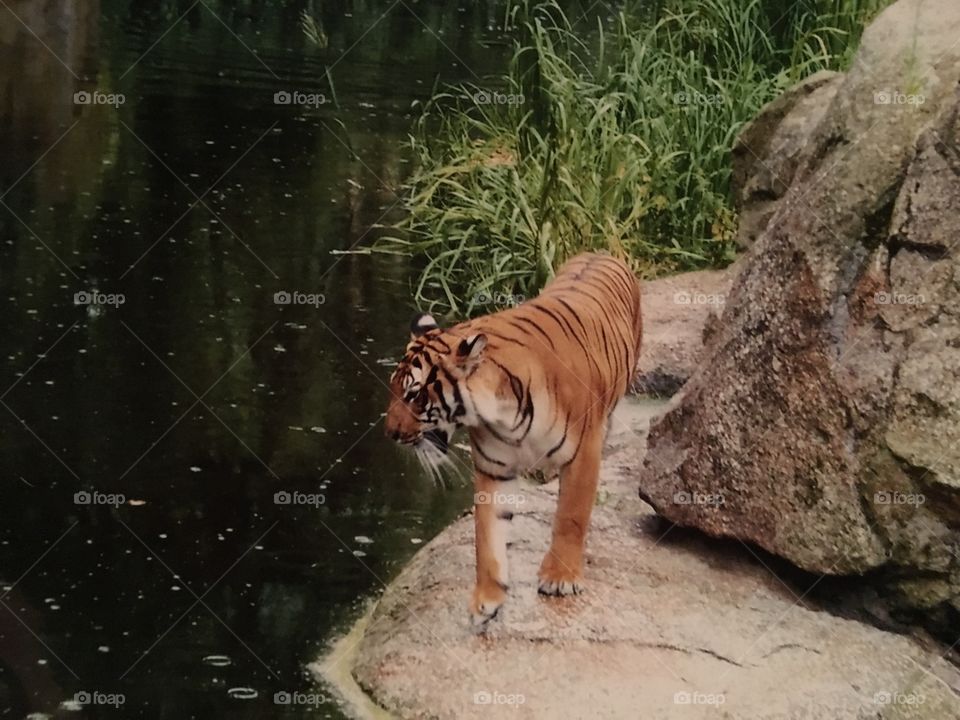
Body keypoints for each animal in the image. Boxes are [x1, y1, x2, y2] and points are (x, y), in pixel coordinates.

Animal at [385, 252, 643, 627]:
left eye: (415, 394)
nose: (389, 432)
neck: (501, 413)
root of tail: (600, 252)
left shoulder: (583, 453)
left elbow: (571, 515)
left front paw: (560, 577)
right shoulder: (493, 469)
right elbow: (487, 536)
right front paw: (486, 601)